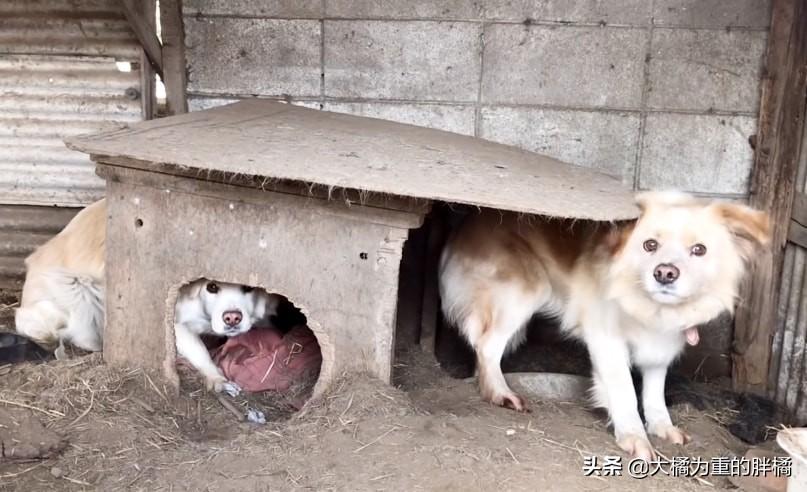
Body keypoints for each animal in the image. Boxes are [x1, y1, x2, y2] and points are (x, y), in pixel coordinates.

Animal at [438, 191, 772, 462]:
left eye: (699, 250)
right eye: (649, 245)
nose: (665, 273)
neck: (651, 308)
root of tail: (469, 222)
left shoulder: (661, 347)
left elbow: (654, 394)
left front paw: (662, 427)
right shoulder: (607, 340)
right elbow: (625, 391)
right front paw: (635, 437)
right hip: (526, 289)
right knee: (487, 346)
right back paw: (499, 392)